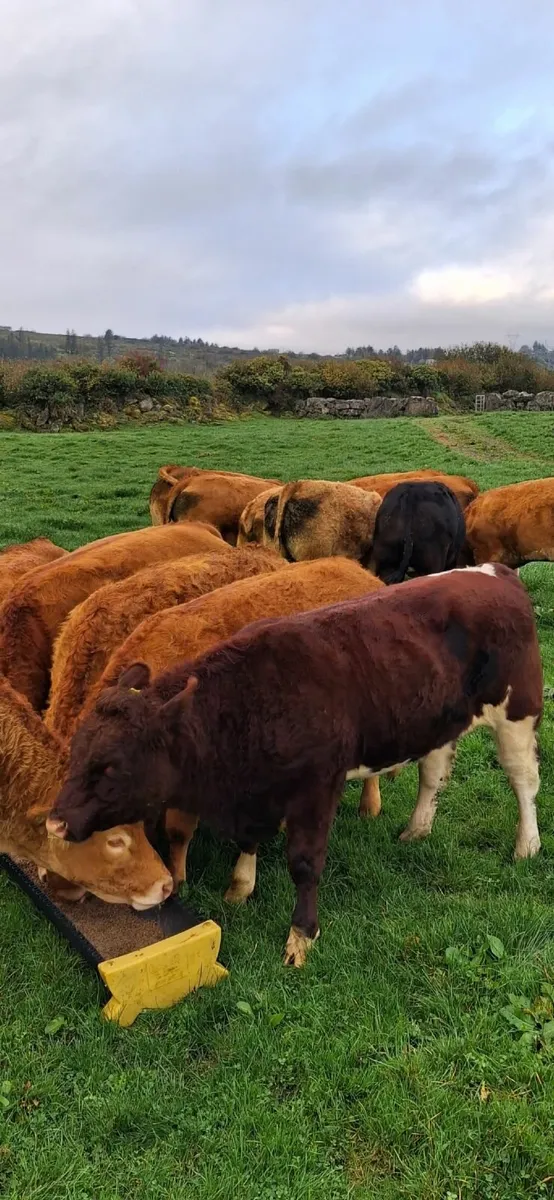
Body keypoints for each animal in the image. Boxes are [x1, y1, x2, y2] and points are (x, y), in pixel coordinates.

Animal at [48, 565, 542, 967]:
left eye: (110, 767)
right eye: (77, 754)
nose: (55, 822)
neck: (253, 699)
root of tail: (496, 573)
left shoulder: (317, 787)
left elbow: (304, 864)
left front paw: (301, 936)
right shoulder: (254, 791)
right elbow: (248, 840)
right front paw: (240, 887)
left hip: (518, 710)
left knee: (523, 780)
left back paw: (527, 845)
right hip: (437, 720)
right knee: (434, 772)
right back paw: (417, 829)